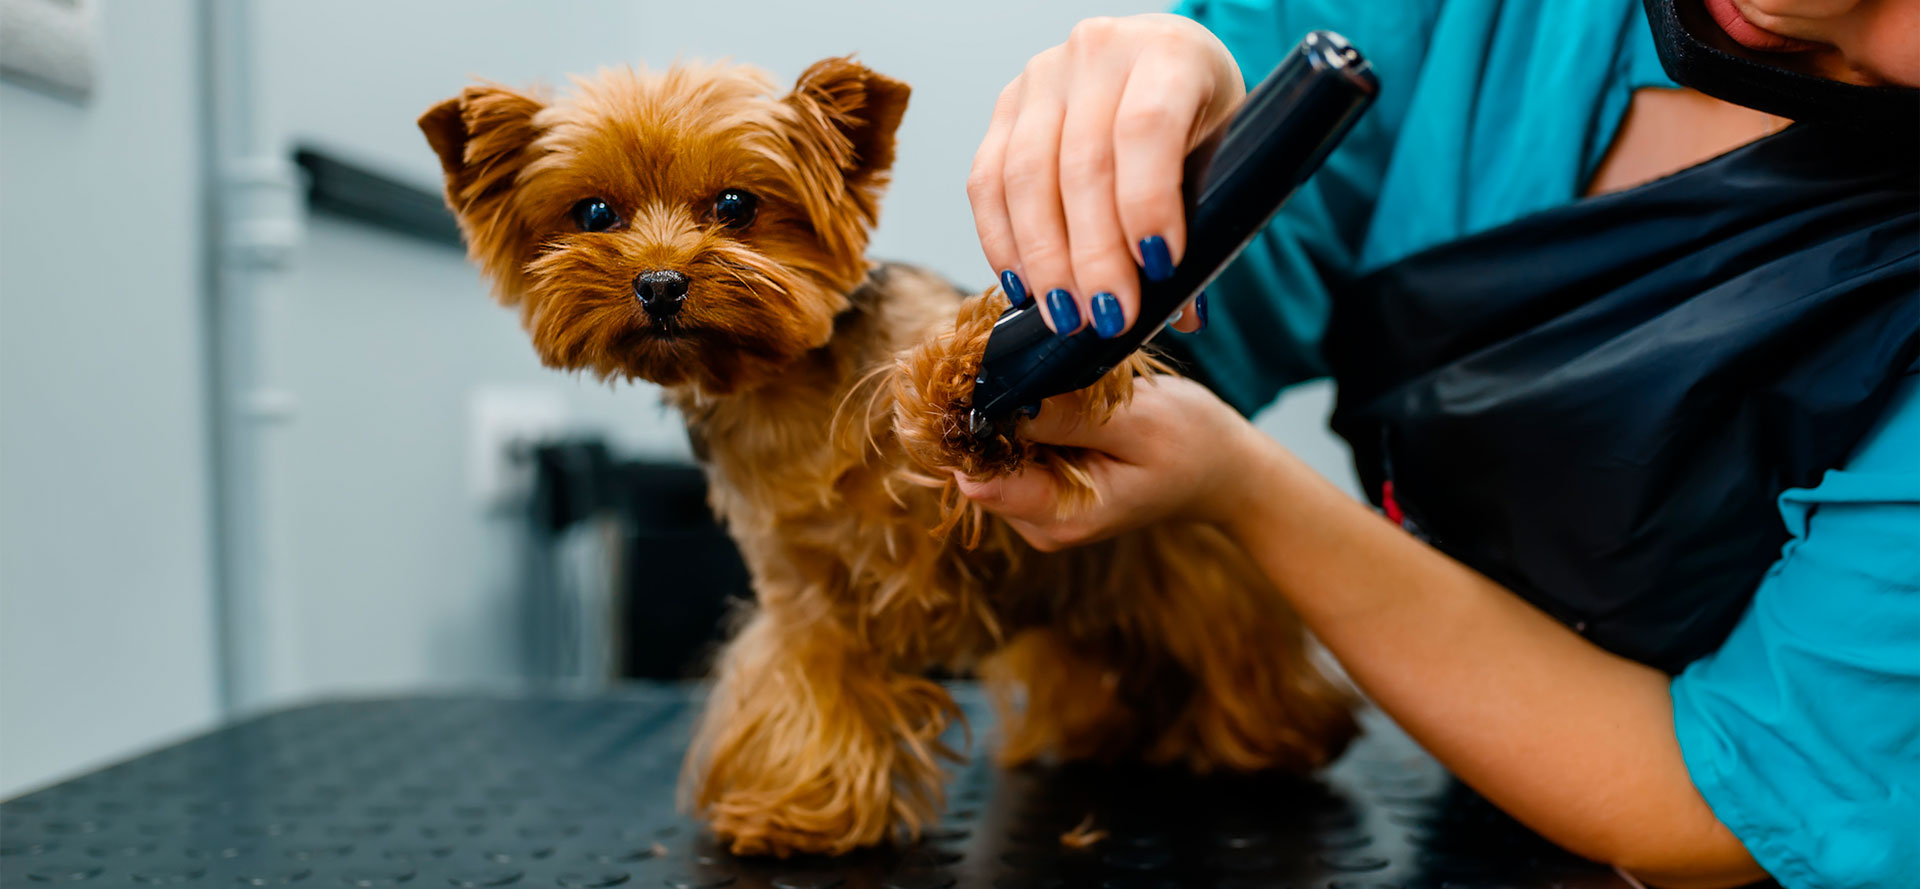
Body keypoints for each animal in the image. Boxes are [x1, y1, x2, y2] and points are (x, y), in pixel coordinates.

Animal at [420, 59, 1351, 860]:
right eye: (594, 215)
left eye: (735, 204)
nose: (659, 283)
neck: (785, 393)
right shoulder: (805, 595)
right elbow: (815, 688)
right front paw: (805, 808)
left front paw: (956, 379)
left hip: (1192, 574)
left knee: (1238, 650)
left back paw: (1278, 734)